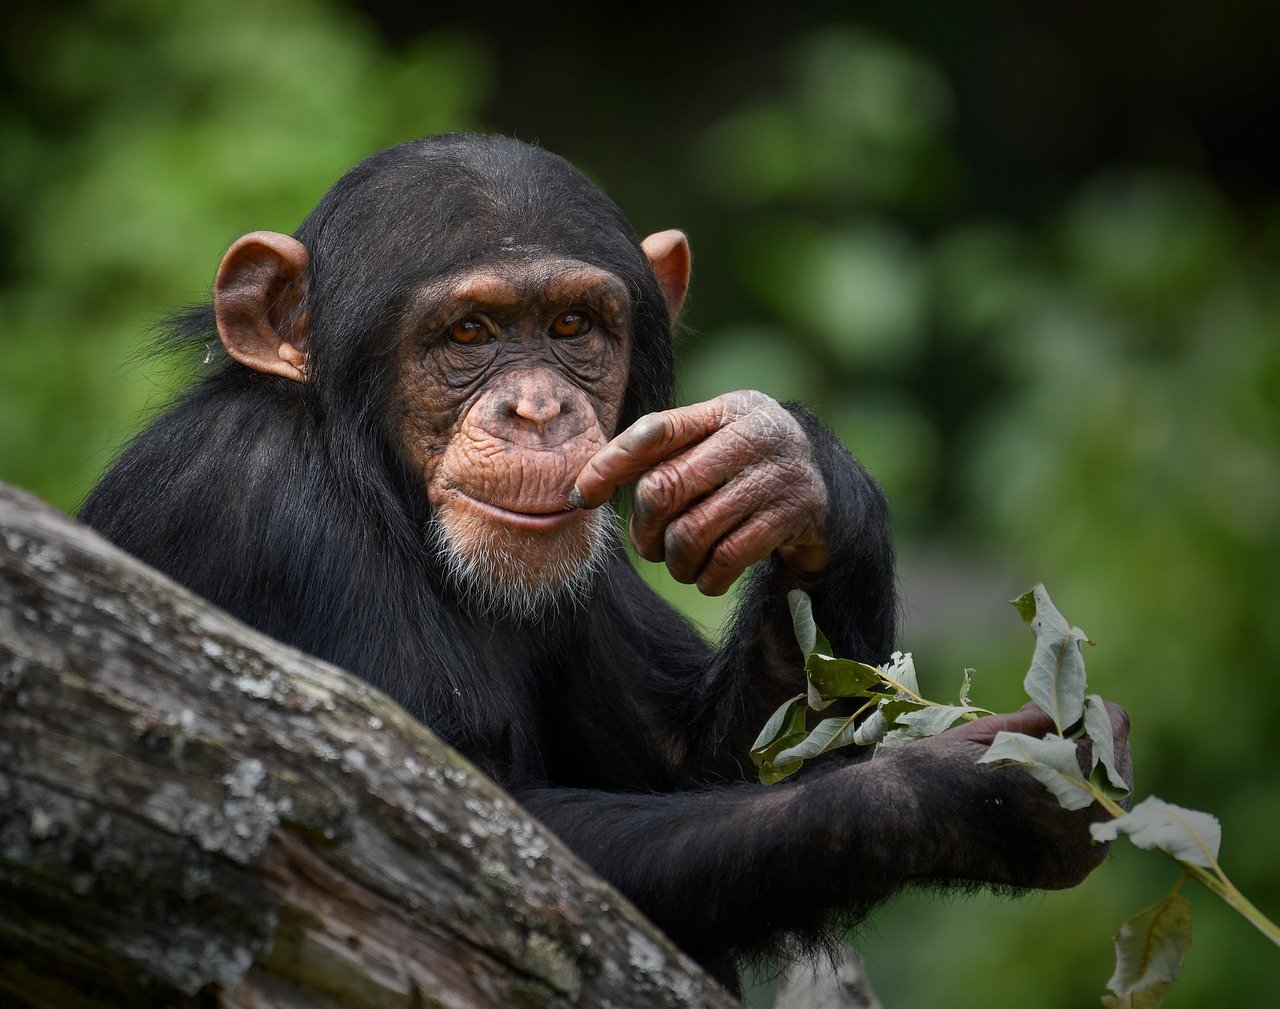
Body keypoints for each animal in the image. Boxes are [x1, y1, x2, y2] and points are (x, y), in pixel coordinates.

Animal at [80, 133, 1131, 993]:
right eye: (469, 333)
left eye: (574, 328)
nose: (540, 409)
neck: (374, 479)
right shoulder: (259, 505)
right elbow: (432, 838)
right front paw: (981, 792)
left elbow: (698, 757)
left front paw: (786, 472)